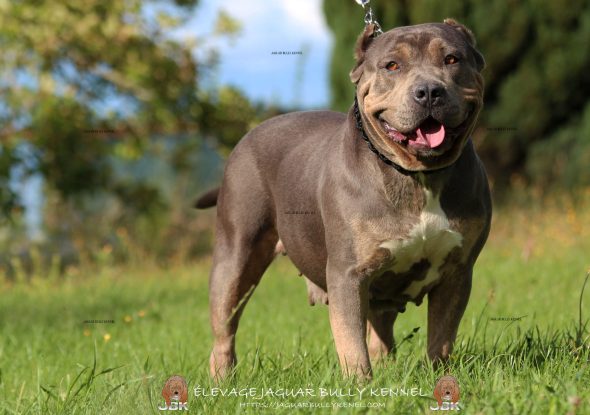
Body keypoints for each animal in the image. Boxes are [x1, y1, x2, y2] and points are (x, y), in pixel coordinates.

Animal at [197, 19, 492, 378]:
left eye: (451, 59)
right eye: (392, 66)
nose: (429, 91)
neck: (416, 175)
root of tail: (247, 137)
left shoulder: (457, 272)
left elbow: (441, 337)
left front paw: (440, 376)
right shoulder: (348, 274)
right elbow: (351, 342)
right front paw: (359, 384)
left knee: (381, 331)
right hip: (235, 256)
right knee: (224, 326)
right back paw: (222, 378)